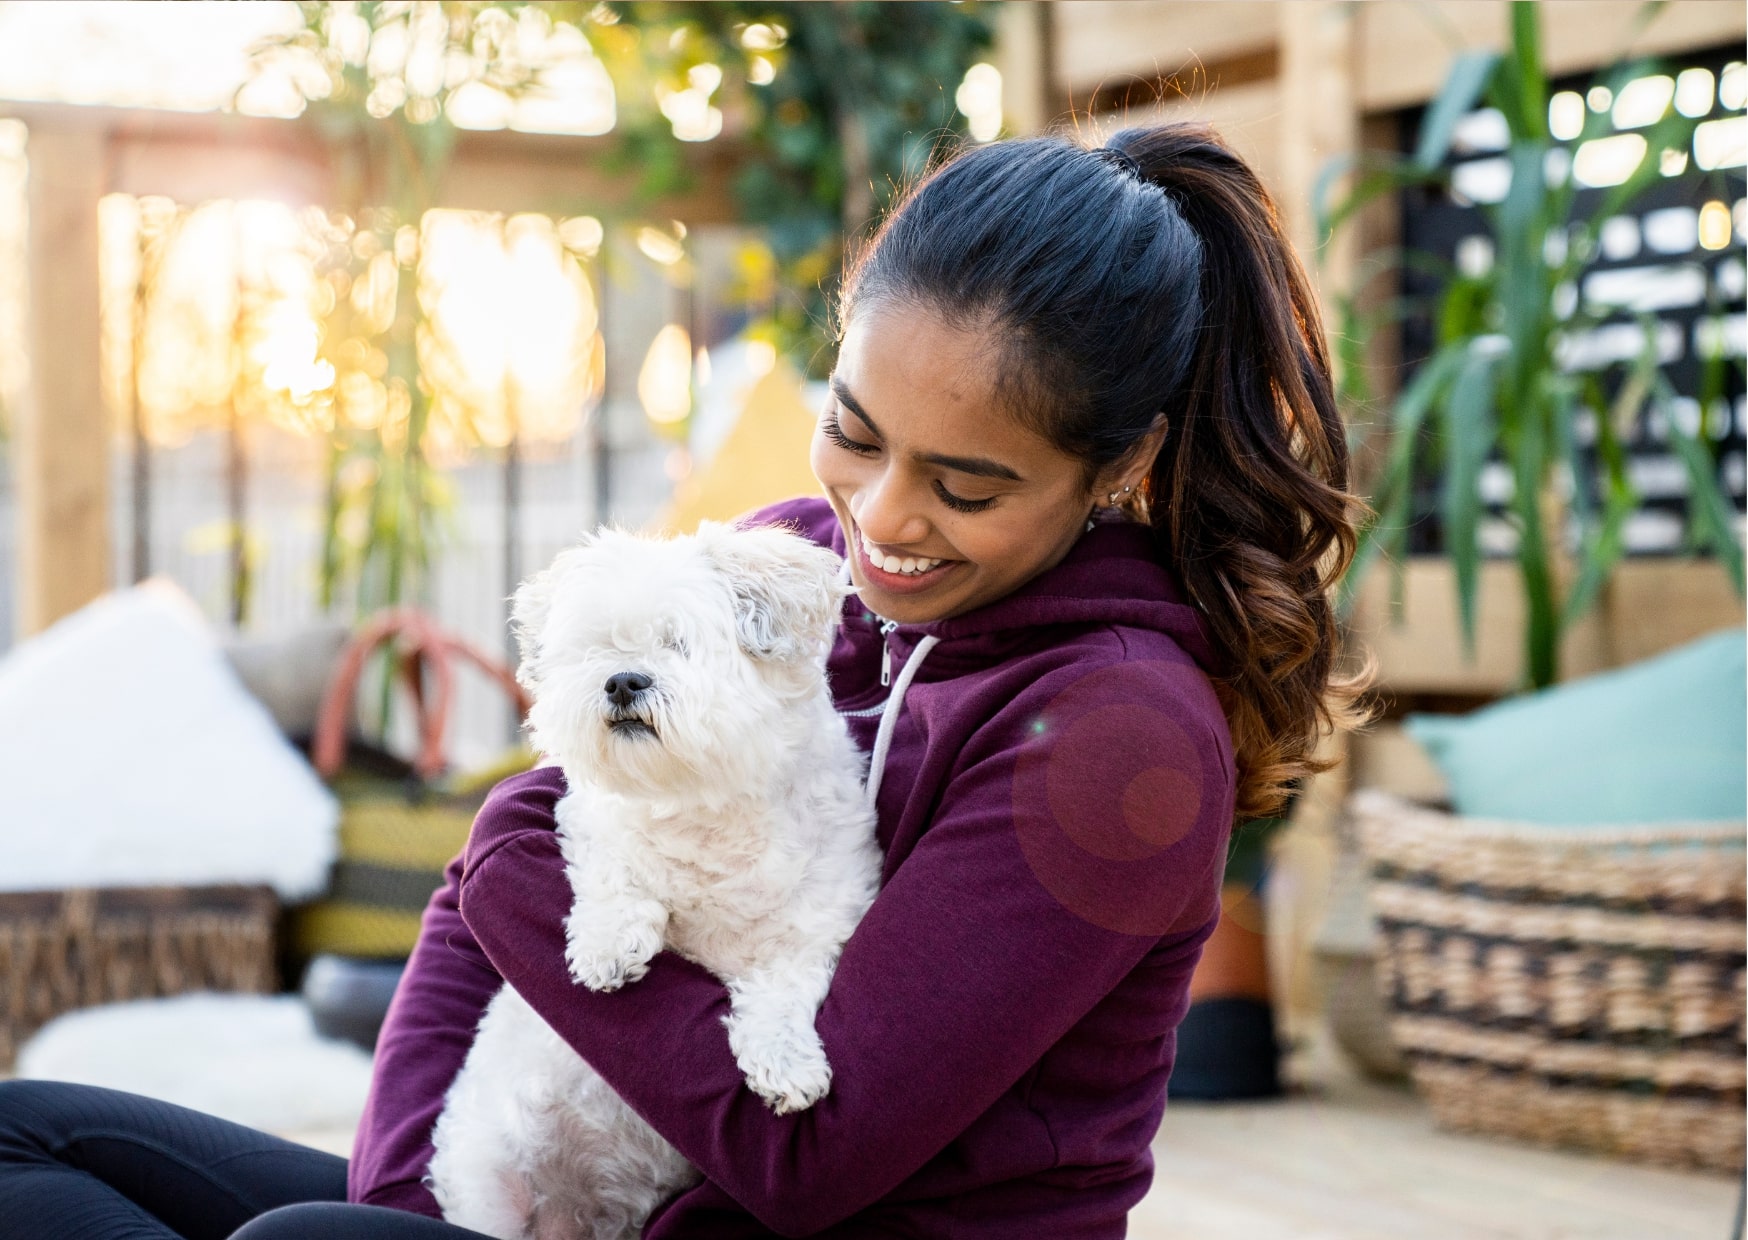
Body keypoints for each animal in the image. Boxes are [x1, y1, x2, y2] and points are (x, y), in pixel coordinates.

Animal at [430, 521, 880, 1238]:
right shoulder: (588, 819)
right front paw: (608, 946)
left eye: (678, 642)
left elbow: (782, 993)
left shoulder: (817, 926)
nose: (622, 681)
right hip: (490, 1186)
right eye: (600, 647)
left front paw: (787, 1066)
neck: (702, 803)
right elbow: (613, 867)